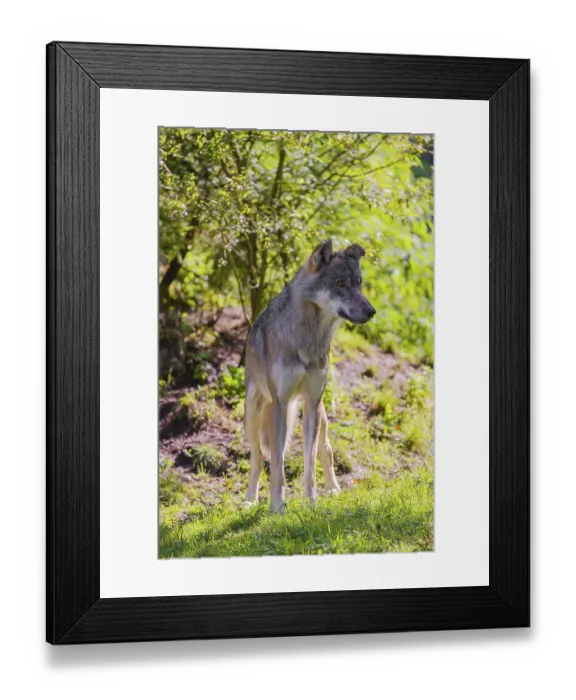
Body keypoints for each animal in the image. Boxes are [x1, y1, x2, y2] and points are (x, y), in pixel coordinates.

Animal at [243, 239, 376, 513]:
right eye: (340, 283)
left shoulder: (312, 404)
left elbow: (310, 466)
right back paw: (250, 499)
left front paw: (312, 504)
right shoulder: (280, 403)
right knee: (258, 458)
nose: (371, 311)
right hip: (253, 414)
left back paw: (334, 489)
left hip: (319, 413)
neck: (308, 337)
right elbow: (278, 468)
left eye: (359, 282)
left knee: (326, 450)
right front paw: (277, 508)